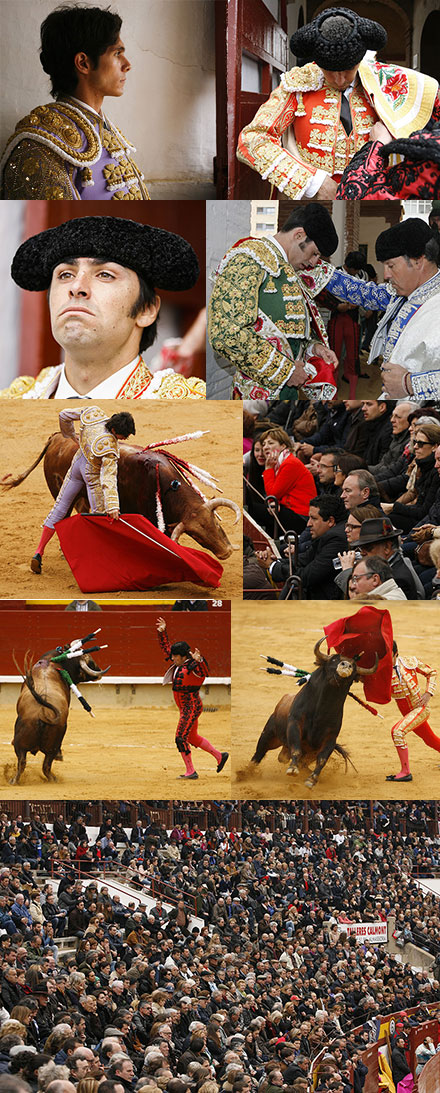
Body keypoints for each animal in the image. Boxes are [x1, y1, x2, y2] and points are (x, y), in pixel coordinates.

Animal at [10, 647, 108, 786]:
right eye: (90, 661)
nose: (99, 672)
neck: (52, 662)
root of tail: (43, 714)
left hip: (24, 745)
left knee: (25, 763)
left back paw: (16, 780)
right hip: (51, 743)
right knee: (43, 764)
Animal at [251, 638, 379, 786]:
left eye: (354, 666)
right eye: (334, 659)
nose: (346, 665)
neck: (321, 711)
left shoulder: (330, 738)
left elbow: (322, 759)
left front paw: (311, 779)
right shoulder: (295, 724)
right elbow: (296, 748)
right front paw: (292, 769)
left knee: (295, 761)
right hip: (268, 735)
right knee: (258, 755)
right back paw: (245, 774)